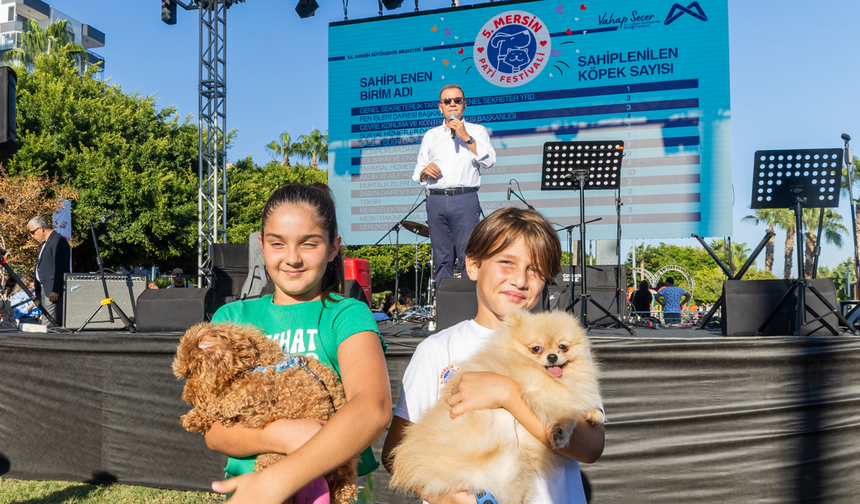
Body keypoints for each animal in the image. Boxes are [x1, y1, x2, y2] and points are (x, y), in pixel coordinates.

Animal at [173, 322, 358, 504]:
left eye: (192, 371)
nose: (187, 398)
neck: (261, 364)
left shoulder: (258, 395)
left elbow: (224, 404)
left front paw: (203, 412)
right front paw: (193, 418)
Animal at [390, 310, 604, 502]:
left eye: (563, 347)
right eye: (536, 349)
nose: (552, 356)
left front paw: (595, 414)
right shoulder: (537, 386)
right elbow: (566, 404)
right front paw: (561, 430)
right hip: (503, 465)